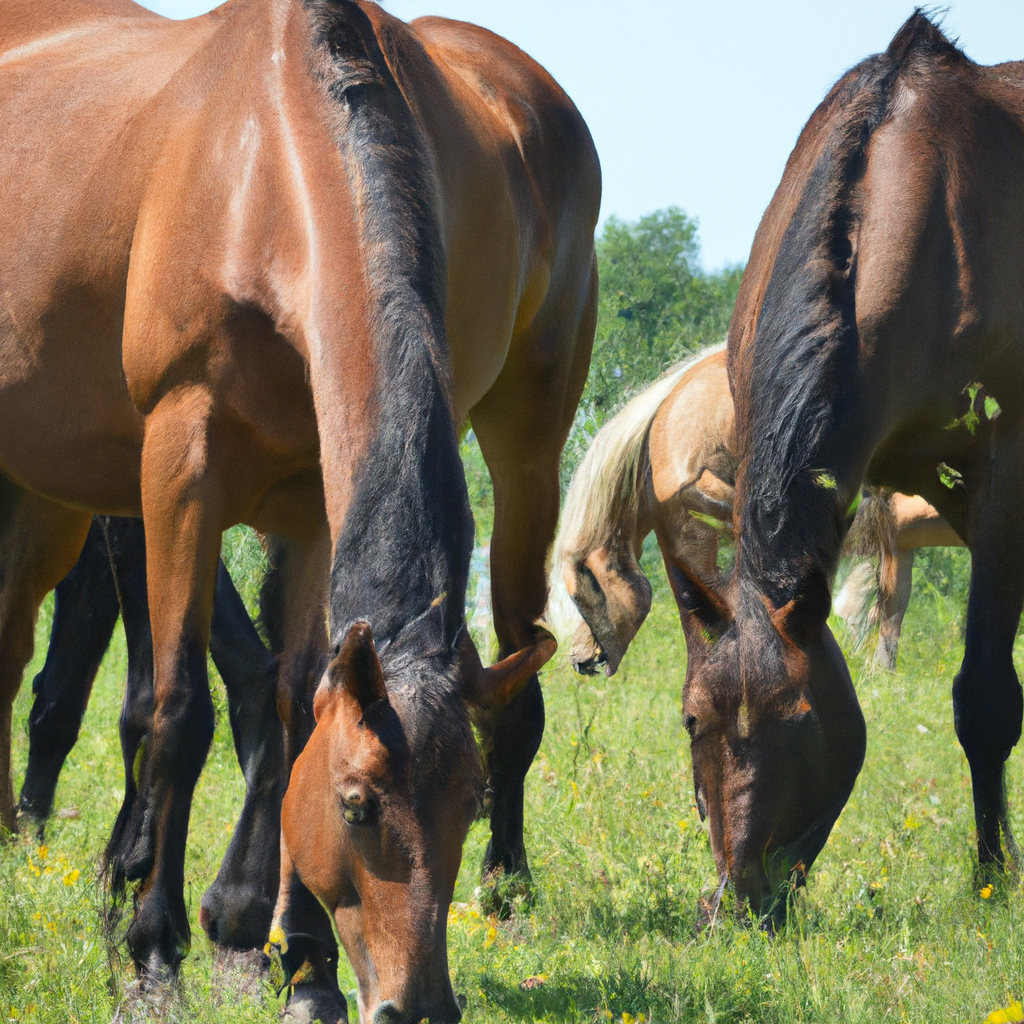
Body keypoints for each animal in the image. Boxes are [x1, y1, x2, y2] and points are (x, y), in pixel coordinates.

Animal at [0, 4, 598, 1019]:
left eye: (467, 801)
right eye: (356, 804)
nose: (418, 1004)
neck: (255, 170)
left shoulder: (314, 503)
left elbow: (289, 704)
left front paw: (305, 966)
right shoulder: (178, 465)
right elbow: (178, 712)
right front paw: (154, 954)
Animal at [667, 12, 1024, 929]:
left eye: (801, 719)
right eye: (691, 721)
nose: (735, 904)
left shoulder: (1003, 484)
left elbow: (986, 697)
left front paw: (994, 875)